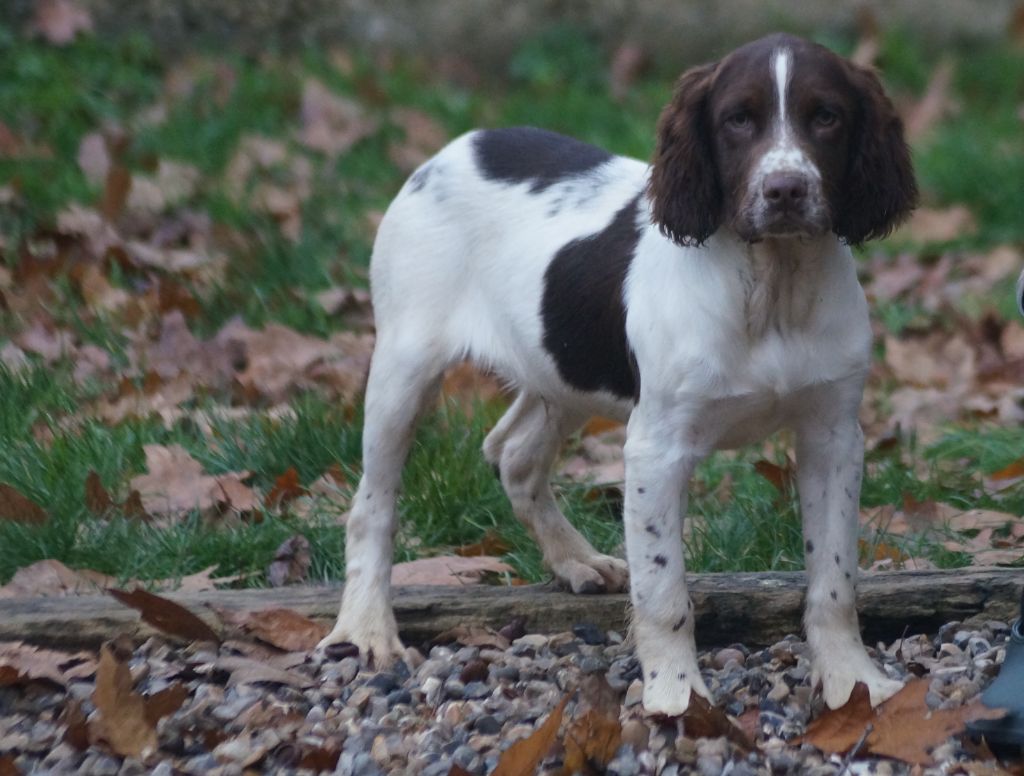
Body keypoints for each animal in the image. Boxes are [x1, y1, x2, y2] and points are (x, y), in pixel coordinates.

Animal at [315, 35, 917, 716]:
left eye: (827, 117)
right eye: (738, 119)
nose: (786, 190)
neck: (772, 288)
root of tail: (461, 144)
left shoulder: (833, 436)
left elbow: (835, 580)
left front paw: (852, 681)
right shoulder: (657, 447)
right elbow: (664, 594)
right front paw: (677, 697)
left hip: (563, 366)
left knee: (512, 454)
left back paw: (575, 561)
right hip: (405, 363)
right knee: (373, 505)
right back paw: (366, 627)